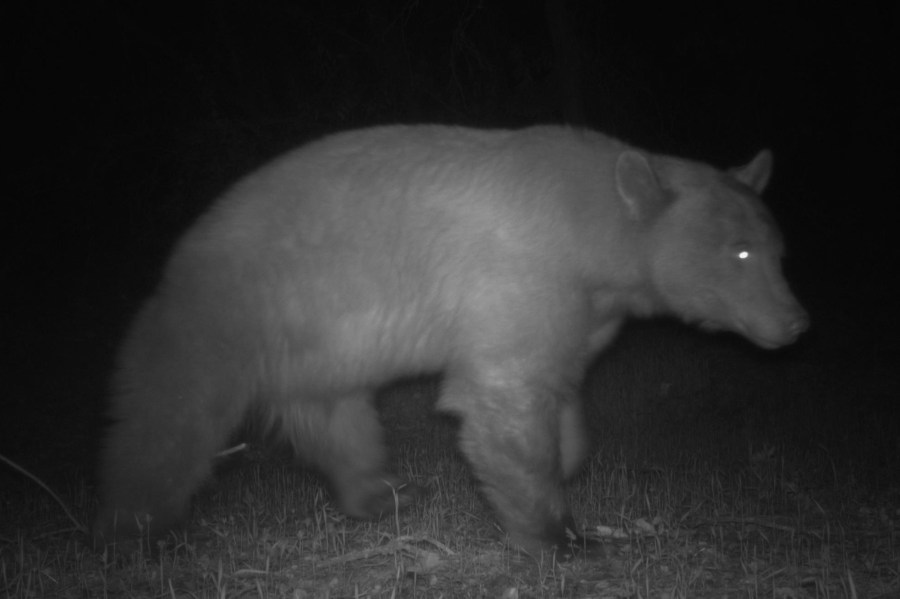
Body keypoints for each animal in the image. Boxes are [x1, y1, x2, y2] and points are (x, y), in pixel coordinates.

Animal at [93, 124, 808, 556]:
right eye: (741, 252)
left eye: (777, 250)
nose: (796, 321)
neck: (595, 223)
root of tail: (174, 265)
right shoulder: (519, 273)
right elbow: (502, 394)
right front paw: (559, 535)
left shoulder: (580, 304)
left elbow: (558, 382)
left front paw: (569, 459)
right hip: (219, 322)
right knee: (169, 424)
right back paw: (135, 524)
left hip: (317, 348)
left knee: (342, 423)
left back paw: (382, 493)